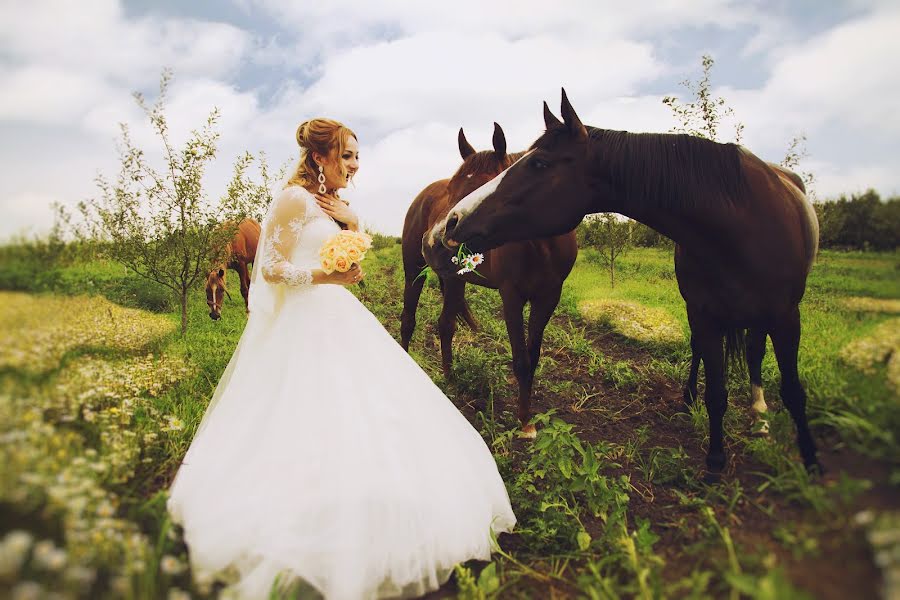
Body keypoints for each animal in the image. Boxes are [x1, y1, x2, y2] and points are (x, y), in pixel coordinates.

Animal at [406, 123, 580, 436]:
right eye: (451, 189)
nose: (432, 243)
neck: (540, 245)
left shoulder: (548, 298)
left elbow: (533, 357)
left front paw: (528, 418)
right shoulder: (511, 295)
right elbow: (521, 359)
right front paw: (524, 423)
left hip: (455, 280)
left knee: (446, 324)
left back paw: (450, 378)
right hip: (413, 270)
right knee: (408, 319)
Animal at [436, 90, 824, 478]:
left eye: (540, 164)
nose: (452, 221)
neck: (741, 220)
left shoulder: (787, 317)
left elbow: (792, 391)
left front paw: (811, 461)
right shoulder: (706, 312)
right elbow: (716, 392)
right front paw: (715, 462)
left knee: (754, 352)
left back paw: (759, 416)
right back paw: (694, 402)